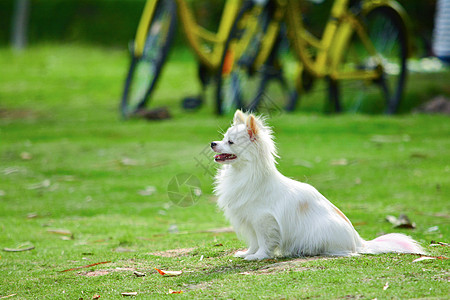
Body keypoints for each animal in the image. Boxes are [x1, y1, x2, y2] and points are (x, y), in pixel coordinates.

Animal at [211, 109, 426, 260]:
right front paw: (248, 253)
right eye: (222, 138)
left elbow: (265, 242)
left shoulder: (264, 220)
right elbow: (255, 241)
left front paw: (259, 256)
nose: (213, 143)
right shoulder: (251, 221)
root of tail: (359, 242)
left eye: (230, 142)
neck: (241, 174)